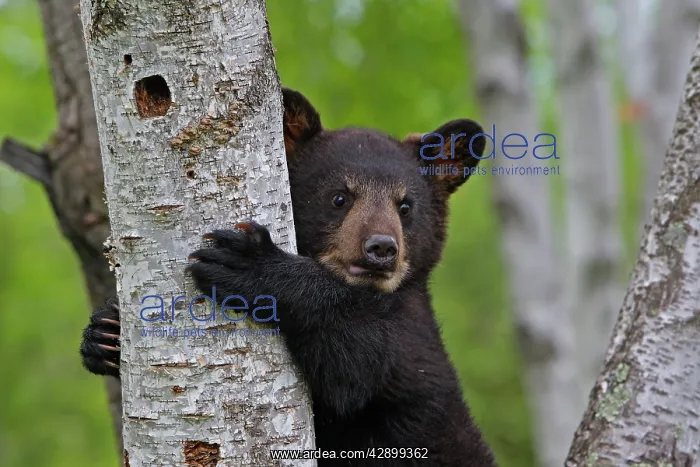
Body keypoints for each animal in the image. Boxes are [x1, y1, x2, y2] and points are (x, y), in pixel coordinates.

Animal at [80, 88, 496, 466]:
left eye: (406, 206)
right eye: (339, 197)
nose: (381, 248)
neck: (371, 294)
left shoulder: (409, 346)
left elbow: (355, 361)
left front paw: (250, 264)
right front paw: (105, 332)